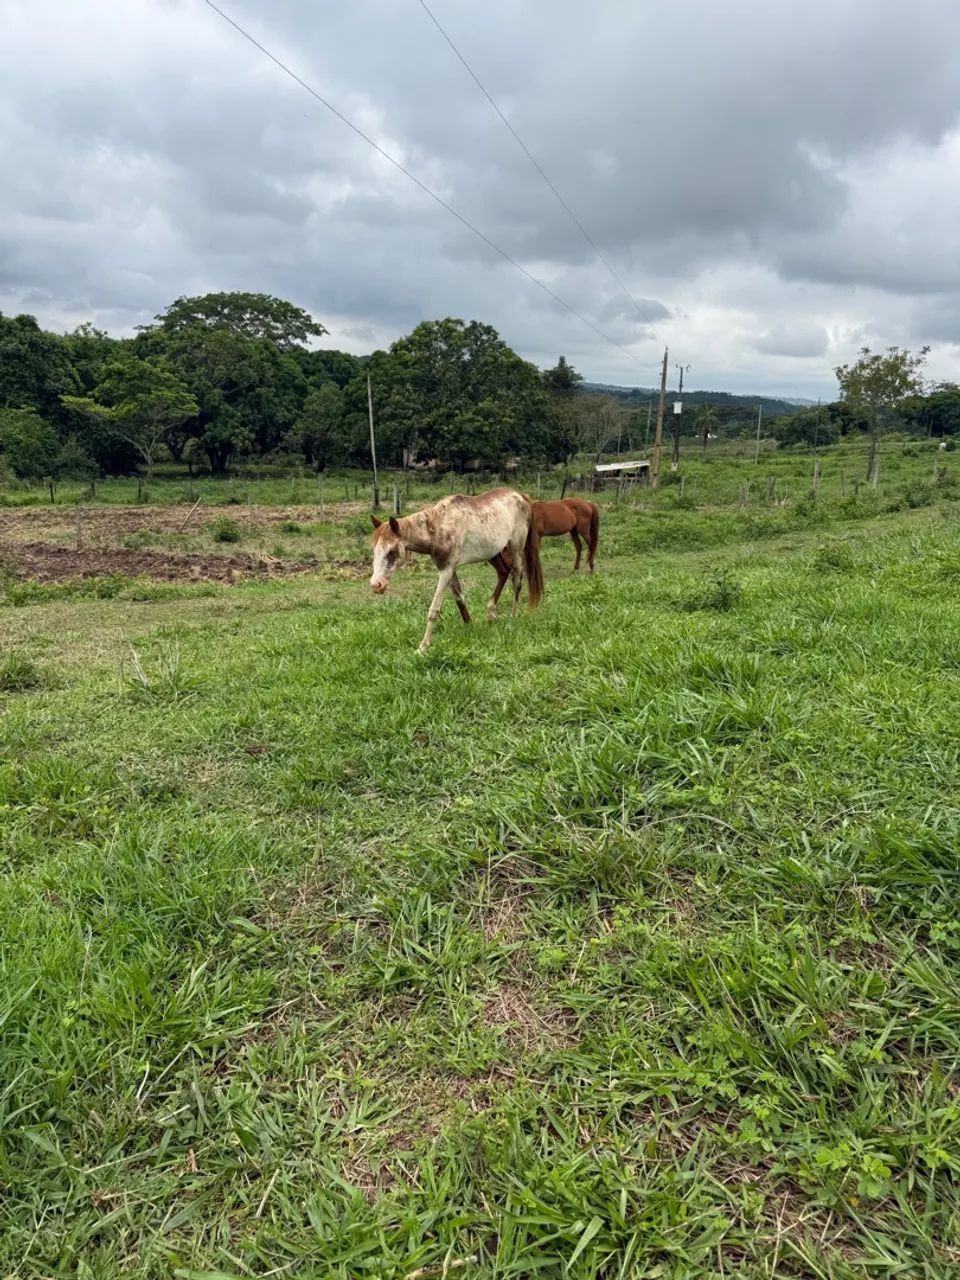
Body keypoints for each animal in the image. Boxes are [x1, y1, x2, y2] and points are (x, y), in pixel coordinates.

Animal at [370, 487, 544, 652]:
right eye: (374, 549)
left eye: (392, 551)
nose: (376, 585)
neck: (438, 529)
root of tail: (521, 495)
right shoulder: (450, 569)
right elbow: (460, 598)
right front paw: (470, 627)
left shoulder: (445, 571)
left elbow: (434, 610)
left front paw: (423, 647)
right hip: (493, 552)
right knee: (503, 572)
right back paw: (490, 615)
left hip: (516, 548)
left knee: (517, 580)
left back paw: (512, 618)